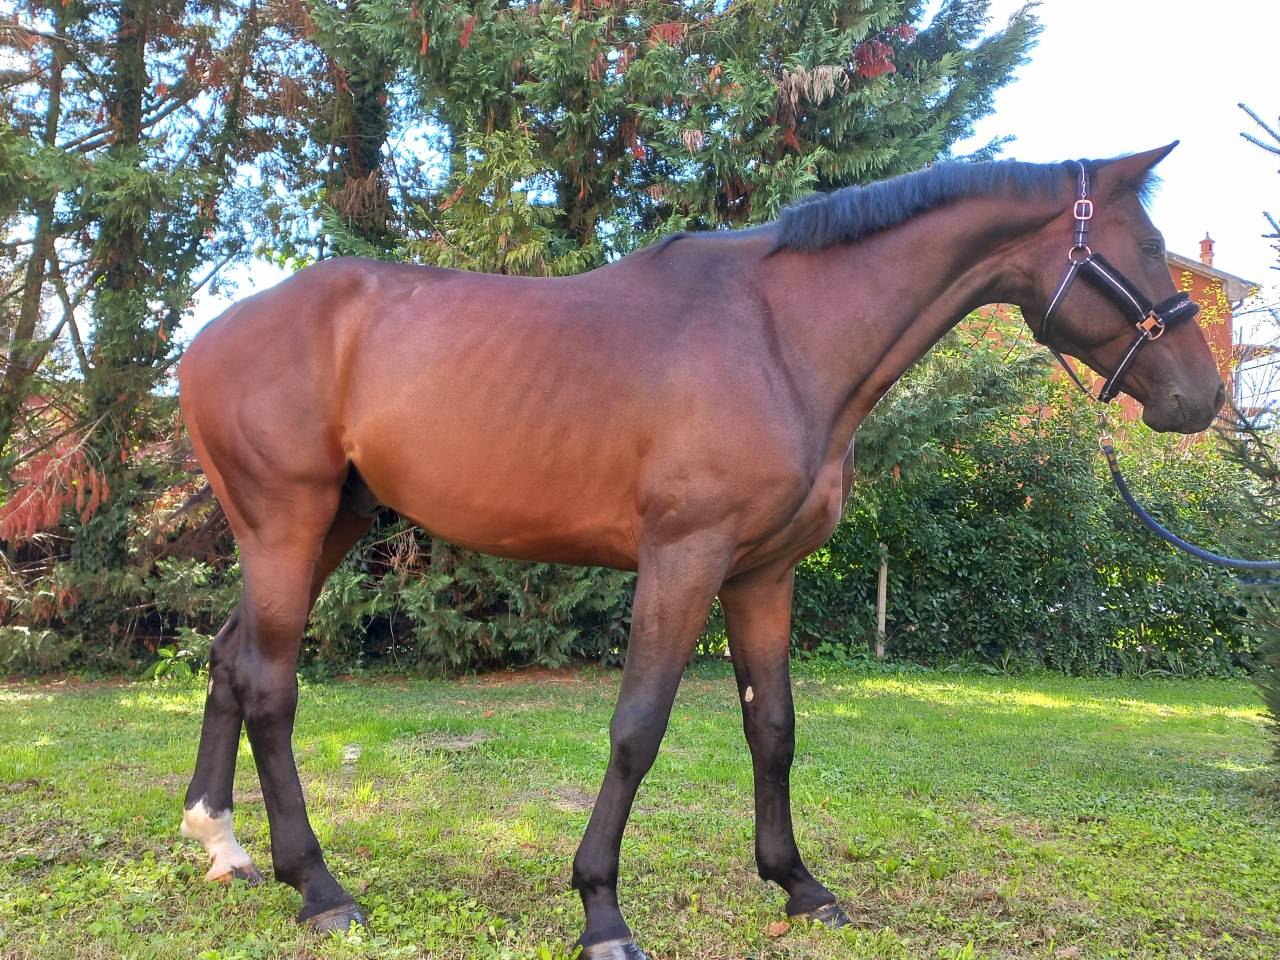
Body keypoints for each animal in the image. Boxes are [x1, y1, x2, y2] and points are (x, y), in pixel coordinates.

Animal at [177, 143, 1224, 958]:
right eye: (1149, 246)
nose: (1204, 398)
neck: (781, 337)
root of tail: (207, 336)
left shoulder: (763, 573)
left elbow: (775, 729)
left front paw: (797, 884)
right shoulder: (685, 558)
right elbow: (638, 728)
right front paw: (600, 910)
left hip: (329, 525)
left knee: (230, 659)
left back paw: (221, 843)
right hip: (286, 523)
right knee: (269, 684)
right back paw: (318, 887)